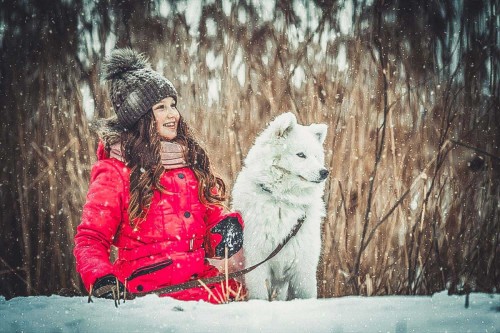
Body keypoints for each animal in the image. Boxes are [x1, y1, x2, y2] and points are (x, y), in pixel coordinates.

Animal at [233, 112, 330, 300]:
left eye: (316, 157)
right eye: (301, 155)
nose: (324, 172)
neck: (283, 200)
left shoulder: (303, 267)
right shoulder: (257, 261)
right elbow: (260, 295)